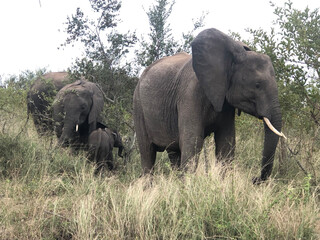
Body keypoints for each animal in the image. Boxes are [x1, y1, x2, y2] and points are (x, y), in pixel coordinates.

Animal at [134, 27, 286, 183]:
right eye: (257, 85)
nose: (254, 179)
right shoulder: (190, 94)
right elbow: (192, 142)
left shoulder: (225, 103)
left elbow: (226, 142)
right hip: (138, 105)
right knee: (147, 153)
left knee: (173, 152)